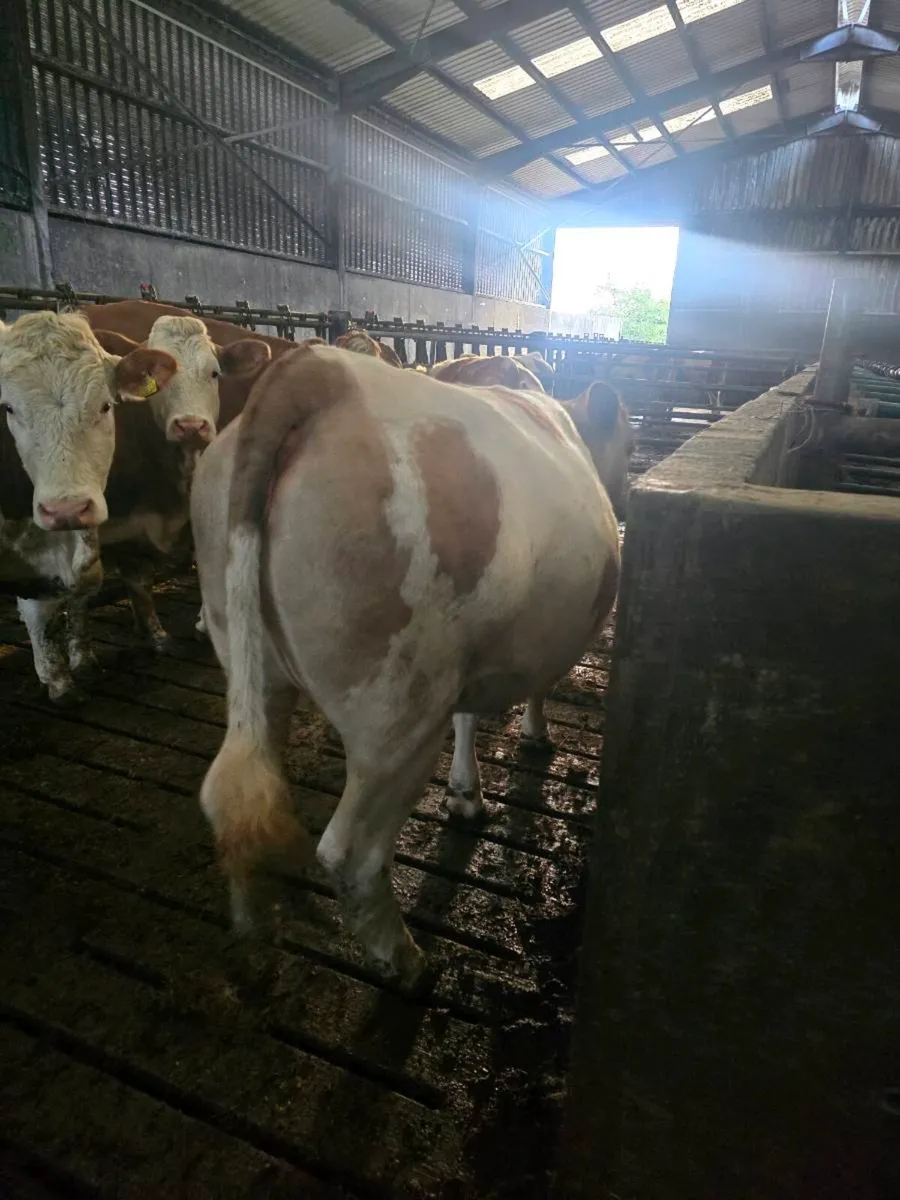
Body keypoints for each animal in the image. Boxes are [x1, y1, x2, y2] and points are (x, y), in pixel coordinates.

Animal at [0, 310, 179, 700]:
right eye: (8, 408)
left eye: (106, 405)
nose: (65, 510)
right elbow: (38, 605)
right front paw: (56, 677)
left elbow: (82, 585)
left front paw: (79, 662)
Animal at [190, 342, 633, 988]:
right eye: (629, 444)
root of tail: (317, 371)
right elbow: (535, 688)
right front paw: (533, 735)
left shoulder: (472, 652)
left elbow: (469, 715)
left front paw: (466, 793)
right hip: (397, 710)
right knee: (350, 852)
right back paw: (404, 960)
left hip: (249, 660)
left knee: (235, 799)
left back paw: (253, 930)